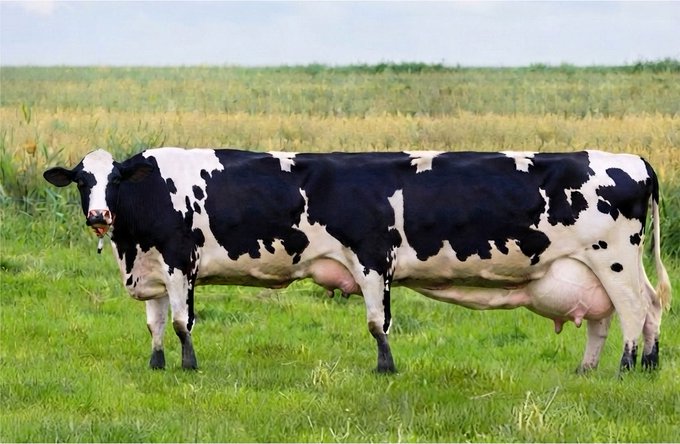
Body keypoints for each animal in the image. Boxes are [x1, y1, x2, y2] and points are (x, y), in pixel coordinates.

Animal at [43, 148, 672, 374]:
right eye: (82, 180)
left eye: (113, 179)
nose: (98, 214)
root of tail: (634, 158)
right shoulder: (151, 270)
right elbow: (155, 325)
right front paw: (157, 366)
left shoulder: (369, 256)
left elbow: (180, 322)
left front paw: (386, 368)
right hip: (590, 271)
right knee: (620, 314)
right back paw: (603, 368)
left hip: (614, 259)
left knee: (636, 309)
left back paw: (628, 366)